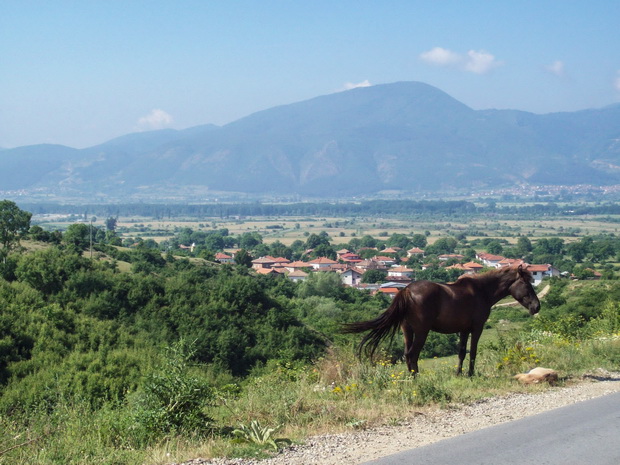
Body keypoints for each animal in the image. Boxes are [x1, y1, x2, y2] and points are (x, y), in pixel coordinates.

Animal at [342, 262, 540, 376]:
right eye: (526, 283)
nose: (537, 306)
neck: (482, 291)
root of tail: (406, 290)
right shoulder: (477, 328)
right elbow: (473, 352)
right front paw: (470, 374)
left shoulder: (463, 330)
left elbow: (461, 352)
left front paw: (458, 374)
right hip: (422, 331)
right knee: (413, 354)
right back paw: (416, 379)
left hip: (407, 331)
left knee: (407, 354)